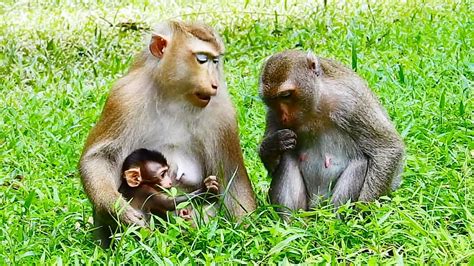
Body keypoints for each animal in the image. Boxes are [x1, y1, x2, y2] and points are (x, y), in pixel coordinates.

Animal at [78, 20, 256, 247]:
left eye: (215, 61)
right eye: (202, 59)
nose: (214, 82)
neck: (175, 97)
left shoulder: (222, 113)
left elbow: (232, 177)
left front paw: (247, 235)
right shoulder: (124, 97)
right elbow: (100, 157)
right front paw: (117, 208)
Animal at [260, 50, 404, 216]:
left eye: (285, 95)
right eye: (270, 101)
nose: (283, 117)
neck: (316, 104)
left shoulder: (351, 102)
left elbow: (387, 149)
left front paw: (362, 209)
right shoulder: (272, 114)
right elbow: (274, 167)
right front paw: (273, 145)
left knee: (360, 163)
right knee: (287, 159)